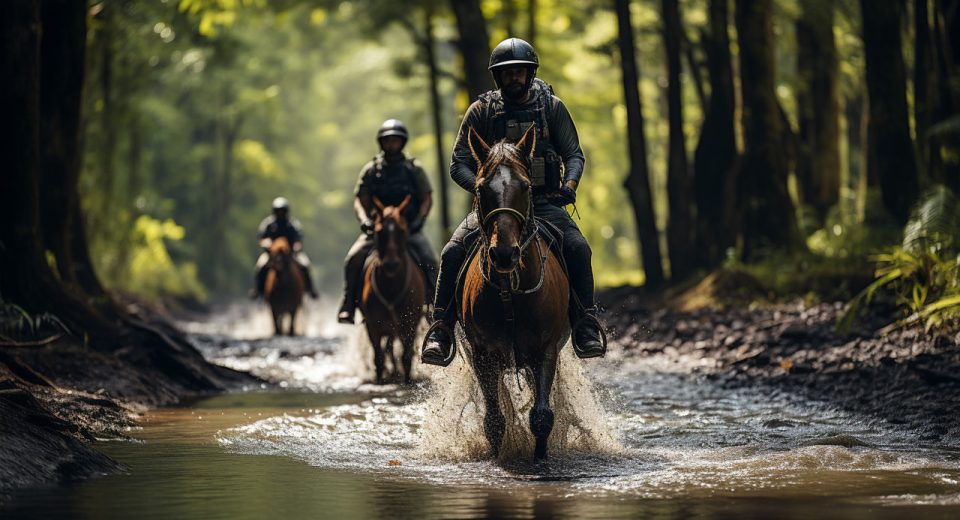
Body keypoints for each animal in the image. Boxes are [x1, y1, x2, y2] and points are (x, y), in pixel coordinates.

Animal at [358, 195, 426, 382]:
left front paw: (407, 379)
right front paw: (381, 379)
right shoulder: (373, 326)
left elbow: (406, 357)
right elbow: (378, 357)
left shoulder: (410, 324)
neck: (391, 288)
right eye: (379, 231)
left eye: (402, 230)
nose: (391, 264)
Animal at [460, 125, 568, 460]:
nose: (505, 254)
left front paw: (541, 457)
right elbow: (494, 421)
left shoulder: (545, 351)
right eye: (482, 188)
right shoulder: (482, 355)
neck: (511, 291)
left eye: (526, 186)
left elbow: (542, 416)